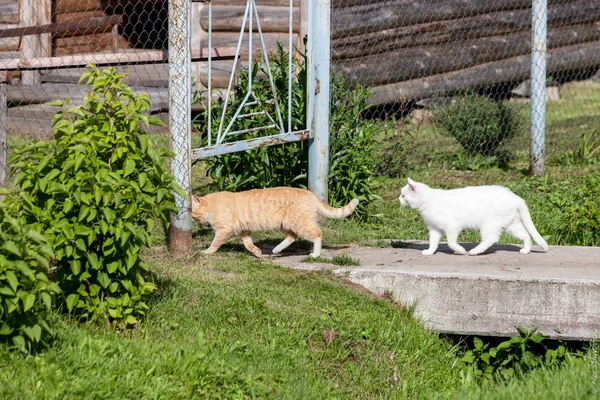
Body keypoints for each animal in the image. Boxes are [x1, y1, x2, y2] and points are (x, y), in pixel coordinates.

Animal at [190, 187, 358, 256]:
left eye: (191, 211)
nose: (191, 218)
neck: (212, 205)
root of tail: (310, 193)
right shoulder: (245, 230)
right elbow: (248, 244)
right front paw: (257, 253)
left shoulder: (223, 230)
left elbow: (215, 244)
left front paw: (207, 252)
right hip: (285, 224)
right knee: (292, 237)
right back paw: (277, 250)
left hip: (300, 223)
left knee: (317, 235)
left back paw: (315, 254)